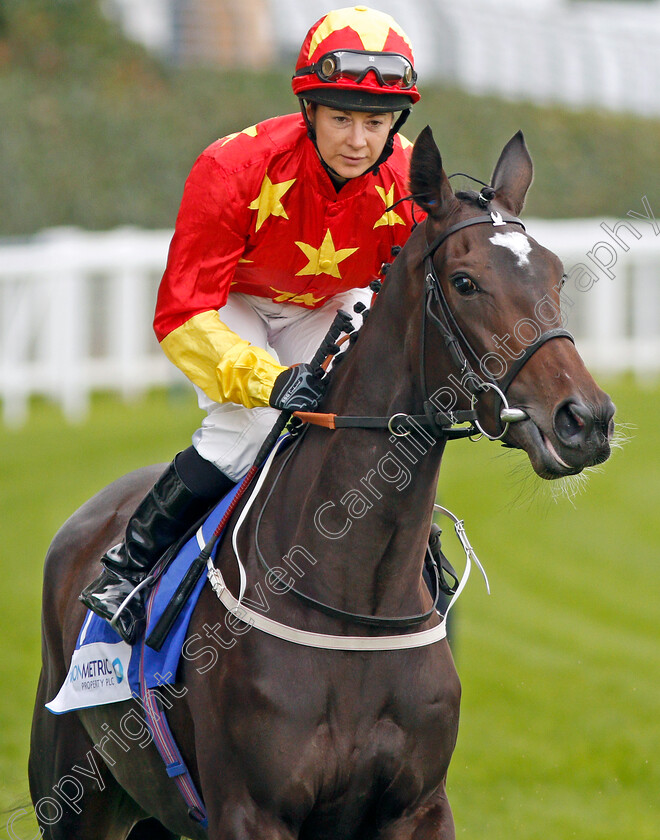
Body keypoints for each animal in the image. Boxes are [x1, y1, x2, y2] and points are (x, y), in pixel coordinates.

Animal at [25, 126, 612, 840]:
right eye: (465, 281)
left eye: (557, 274)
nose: (585, 419)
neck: (357, 602)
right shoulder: (251, 811)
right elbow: (186, 309)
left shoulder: (420, 807)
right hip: (75, 796)